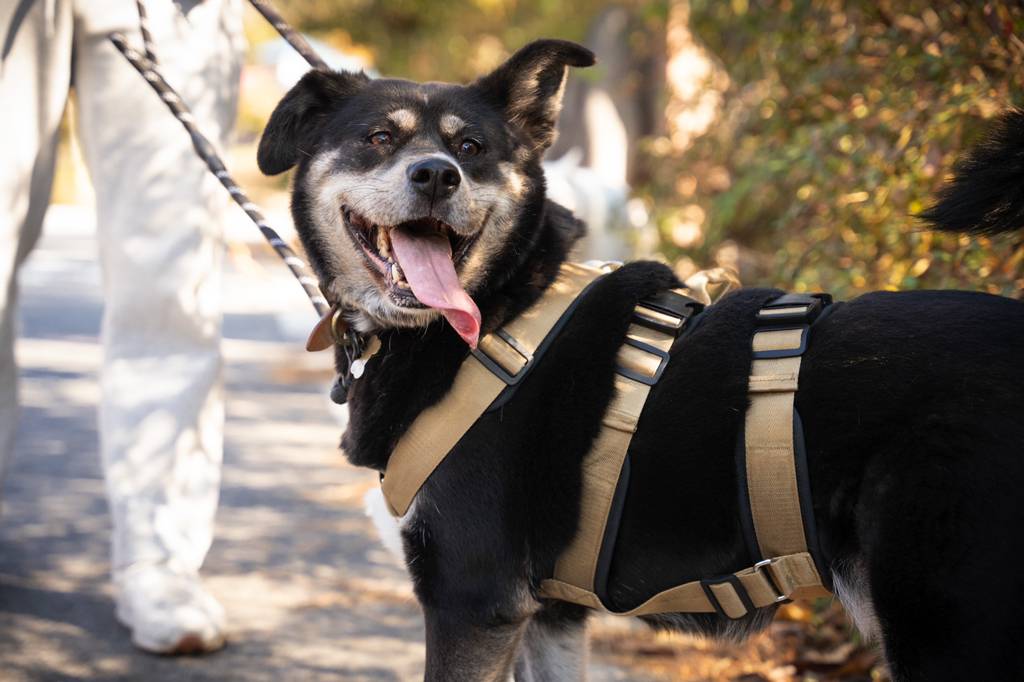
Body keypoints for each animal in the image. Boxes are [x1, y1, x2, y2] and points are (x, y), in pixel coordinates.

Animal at [260, 39, 1024, 675]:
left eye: (470, 147)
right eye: (378, 138)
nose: (437, 176)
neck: (494, 309)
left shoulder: (472, 598)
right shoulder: (550, 619)